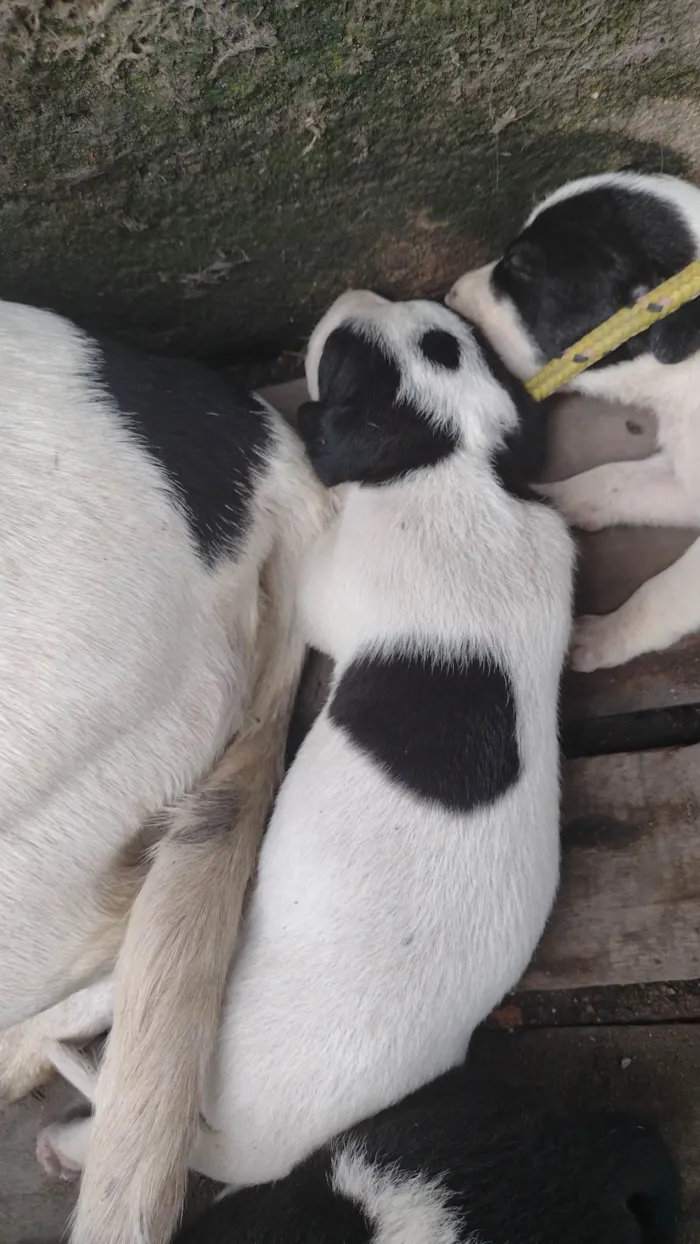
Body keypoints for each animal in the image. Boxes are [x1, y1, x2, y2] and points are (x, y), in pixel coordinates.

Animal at [39, 296, 574, 1219]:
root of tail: (252, 1150)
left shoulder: (335, 576)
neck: (454, 459)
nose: (350, 298)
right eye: (436, 327)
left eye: (342, 360)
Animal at [450, 171, 700, 676]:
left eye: (521, 270)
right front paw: (546, 499)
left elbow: (665, 594)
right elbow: (610, 481)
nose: (449, 294)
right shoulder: (683, 470)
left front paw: (603, 636)